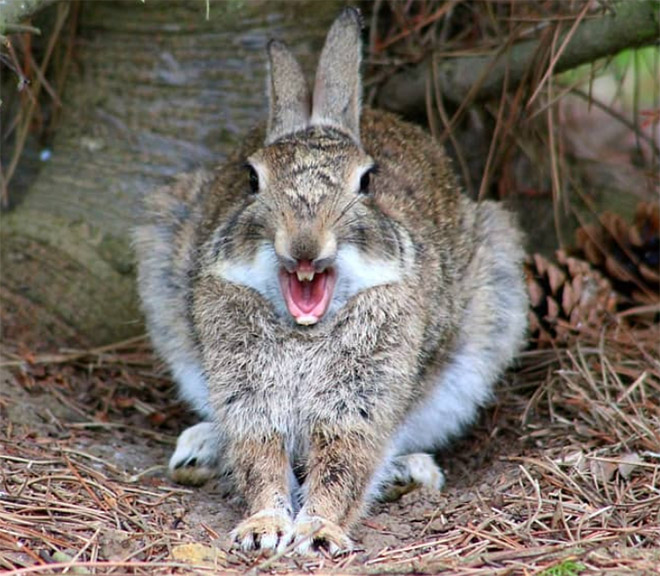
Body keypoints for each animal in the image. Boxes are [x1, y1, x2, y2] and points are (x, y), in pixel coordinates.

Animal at [134, 6, 524, 556]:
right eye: (252, 179)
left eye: (366, 181)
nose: (304, 244)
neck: (305, 329)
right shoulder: (248, 393)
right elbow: (259, 455)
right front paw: (263, 528)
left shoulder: (361, 397)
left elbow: (344, 461)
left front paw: (318, 532)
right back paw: (201, 450)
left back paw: (410, 473)